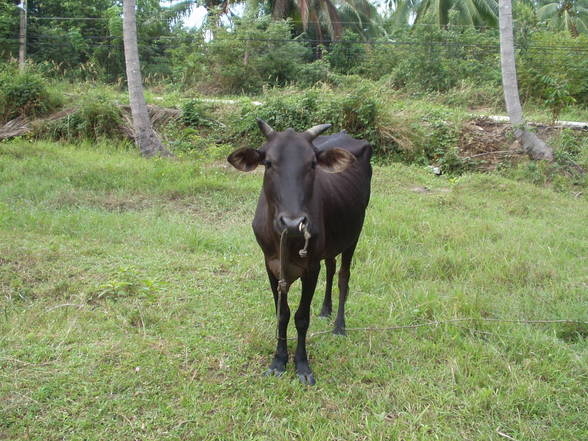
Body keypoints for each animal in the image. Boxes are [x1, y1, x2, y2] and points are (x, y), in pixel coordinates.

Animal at [226, 118, 372, 384]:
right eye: (268, 163)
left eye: (312, 164)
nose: (294, 223)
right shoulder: (271, 265)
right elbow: (282, 314)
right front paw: (278, 361)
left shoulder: (310, 267)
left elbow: (301, 318)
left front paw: (302, 365)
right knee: (331, 267)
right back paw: (325, 309)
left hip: (353, 235)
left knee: (343, 277)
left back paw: (339, 325)